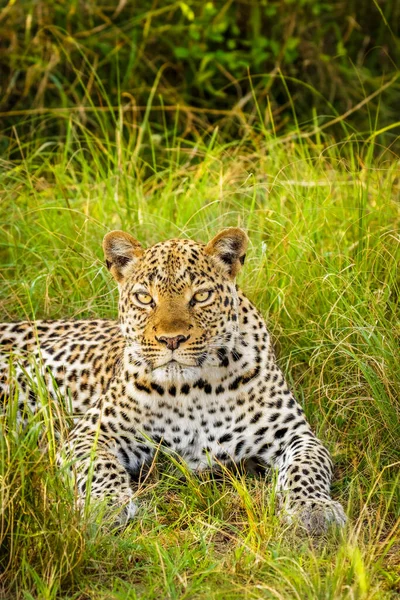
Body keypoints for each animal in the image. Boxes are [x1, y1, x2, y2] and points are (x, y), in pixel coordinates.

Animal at [0, 229, 346, 536]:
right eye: (144, 298)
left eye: (201, 296)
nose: (171, 340)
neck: (194, 389)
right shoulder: (91, 433)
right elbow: (100, 467)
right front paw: (105, 506)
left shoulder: (295, 434)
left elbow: (307, 465)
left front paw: (315, 508)